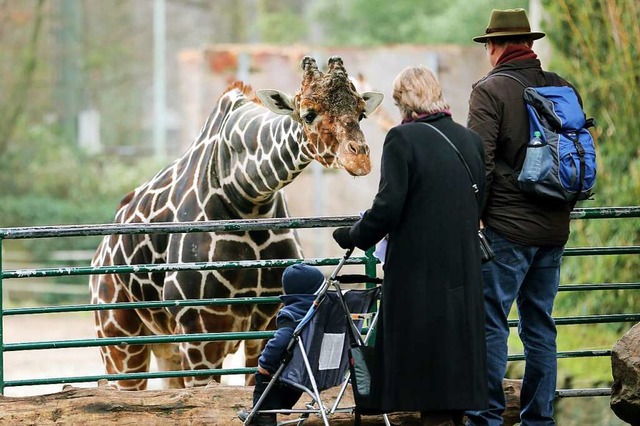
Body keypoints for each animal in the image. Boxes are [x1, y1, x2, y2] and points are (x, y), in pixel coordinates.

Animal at [87, 55, 382, 390]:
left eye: (360, 112)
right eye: (308, 114)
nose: (360, 159)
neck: (248, 198)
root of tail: (98, 257)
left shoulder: (269, 320)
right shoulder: (201, 328)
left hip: (164, 347)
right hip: (120, 340)